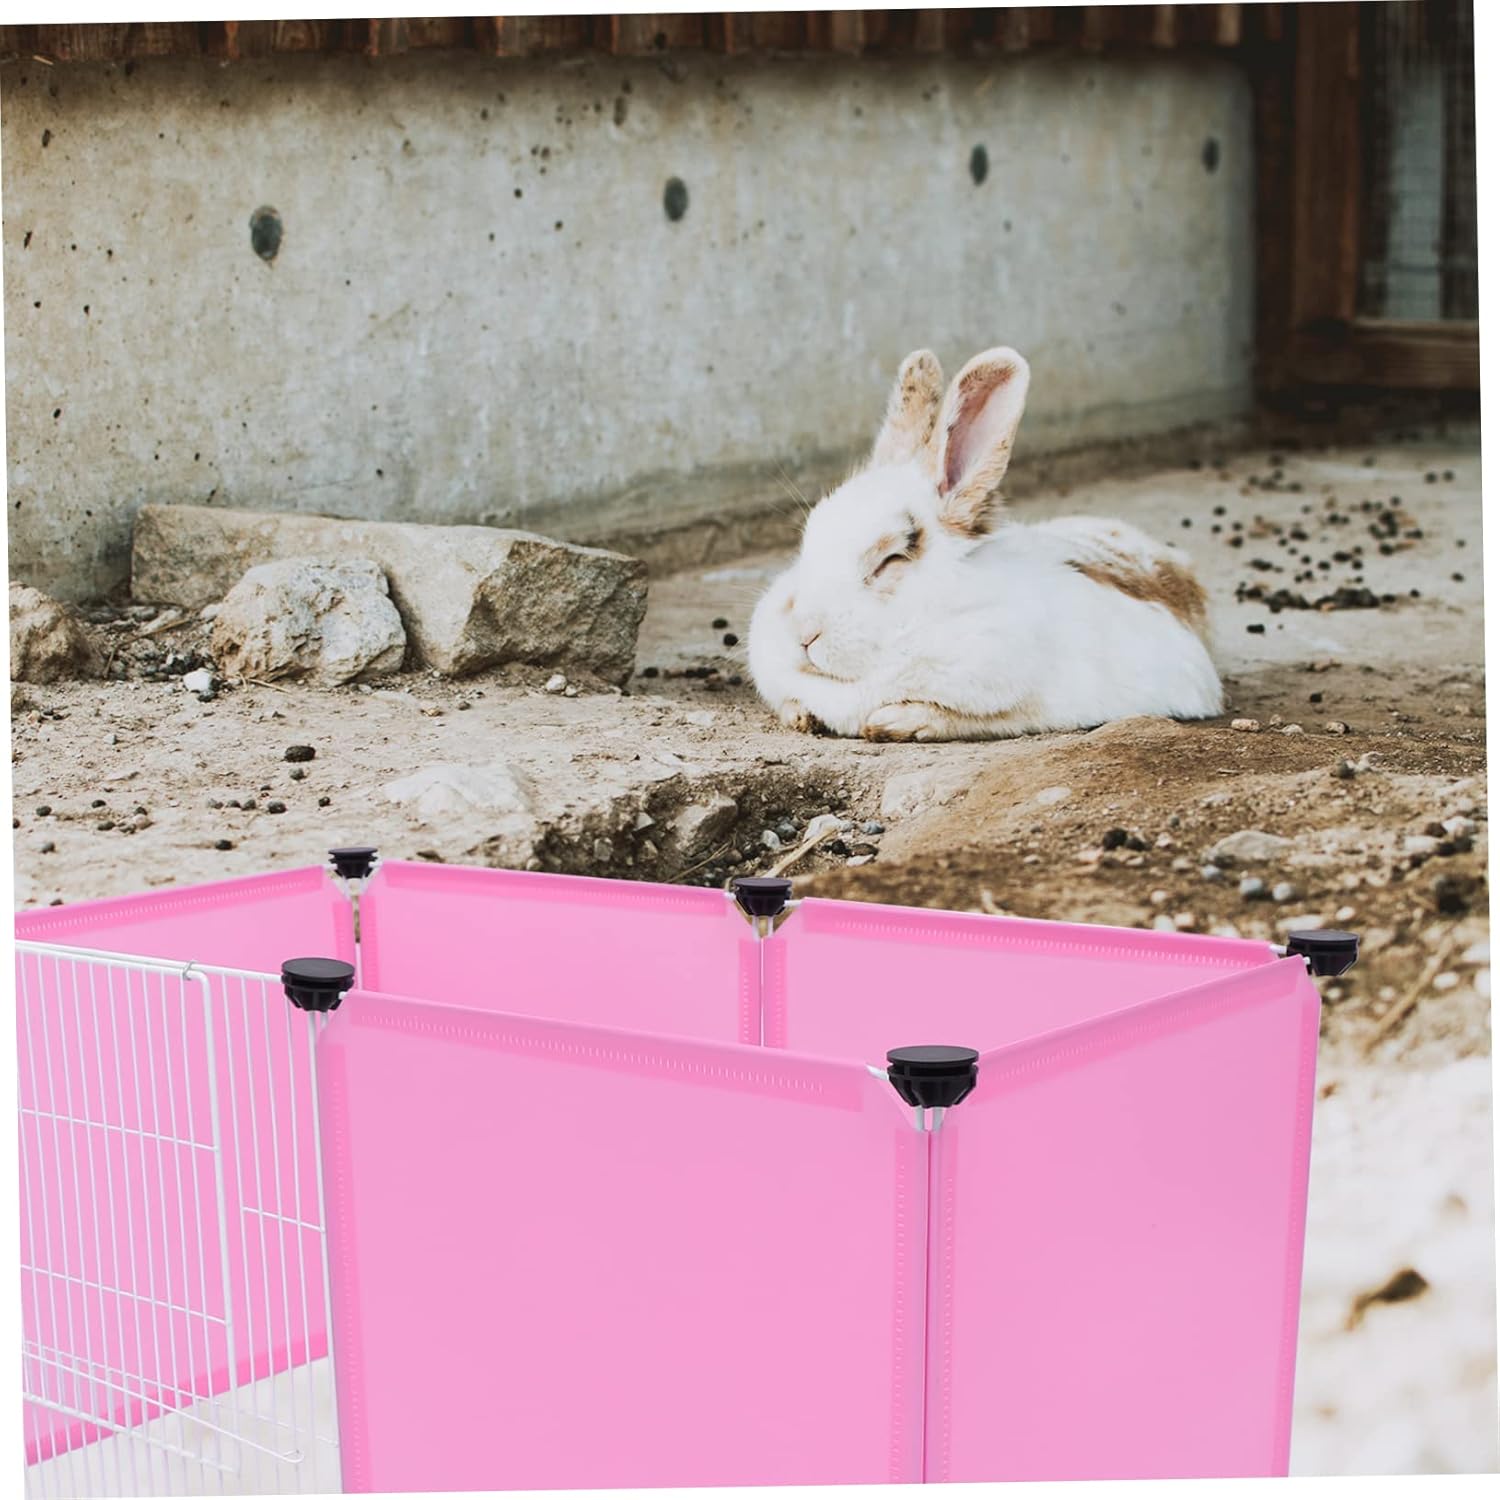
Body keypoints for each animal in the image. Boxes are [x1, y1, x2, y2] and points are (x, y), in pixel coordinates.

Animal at [747, 346, 1223, 742]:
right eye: (809, 538)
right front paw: (800, 715)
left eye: (890, 560)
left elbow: (979, 716)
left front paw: (898, 722)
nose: (803, 632)